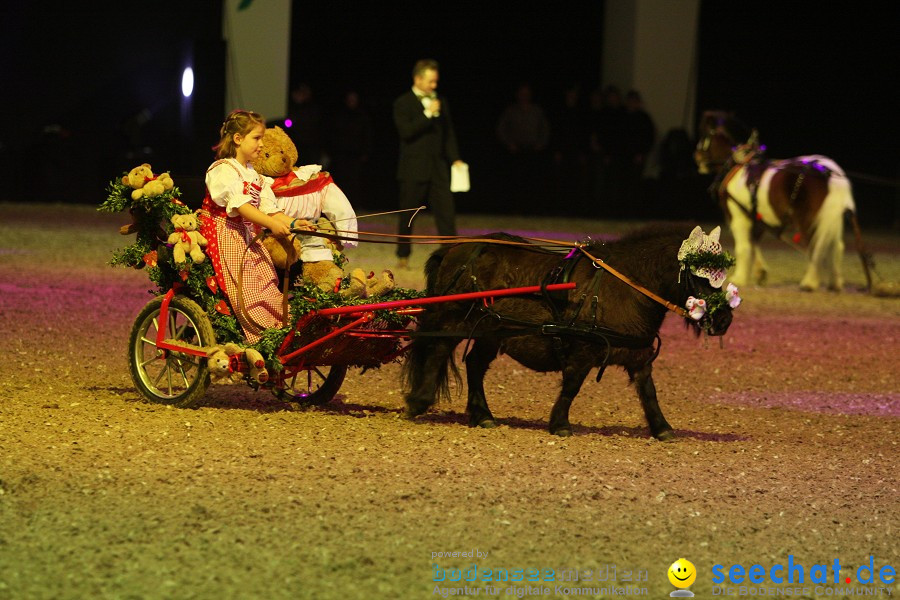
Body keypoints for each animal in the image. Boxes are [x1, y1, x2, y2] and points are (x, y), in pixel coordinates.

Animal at [404, 223, 736, 438]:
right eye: (701, 274)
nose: (723, 320)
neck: (623, 288)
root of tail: (456, 249)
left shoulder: (639, 357)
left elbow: (648, 391)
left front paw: (662, 428)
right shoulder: (582, 351)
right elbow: (572, 387)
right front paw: (560, 424)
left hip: (492, 329)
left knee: (474, 364)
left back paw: (483, 415)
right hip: (454, 319)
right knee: (438, 351)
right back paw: (419, 401)